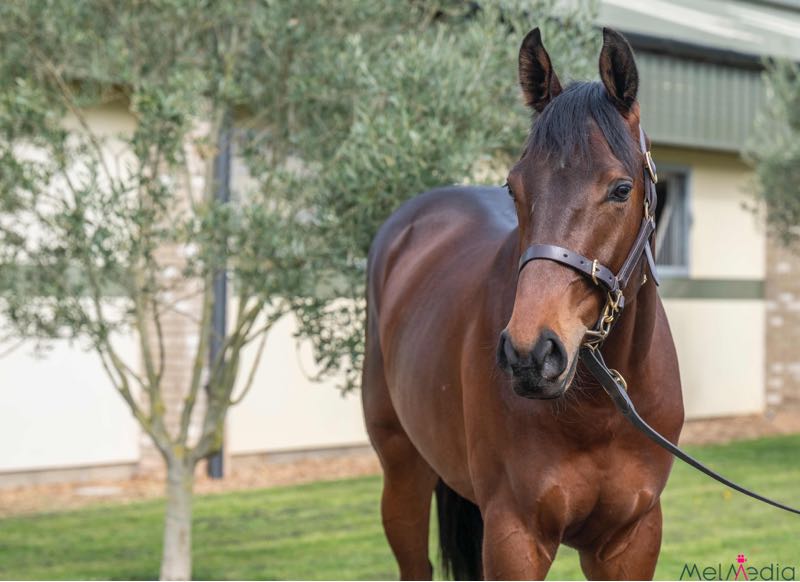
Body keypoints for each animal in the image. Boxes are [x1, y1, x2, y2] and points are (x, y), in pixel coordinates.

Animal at [362, 27, 684, 580]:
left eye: (622, 189)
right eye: (514, 187)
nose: (531, 354)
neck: (599, 408)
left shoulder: (632, 538)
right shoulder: (515, 535)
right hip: (403, 473)